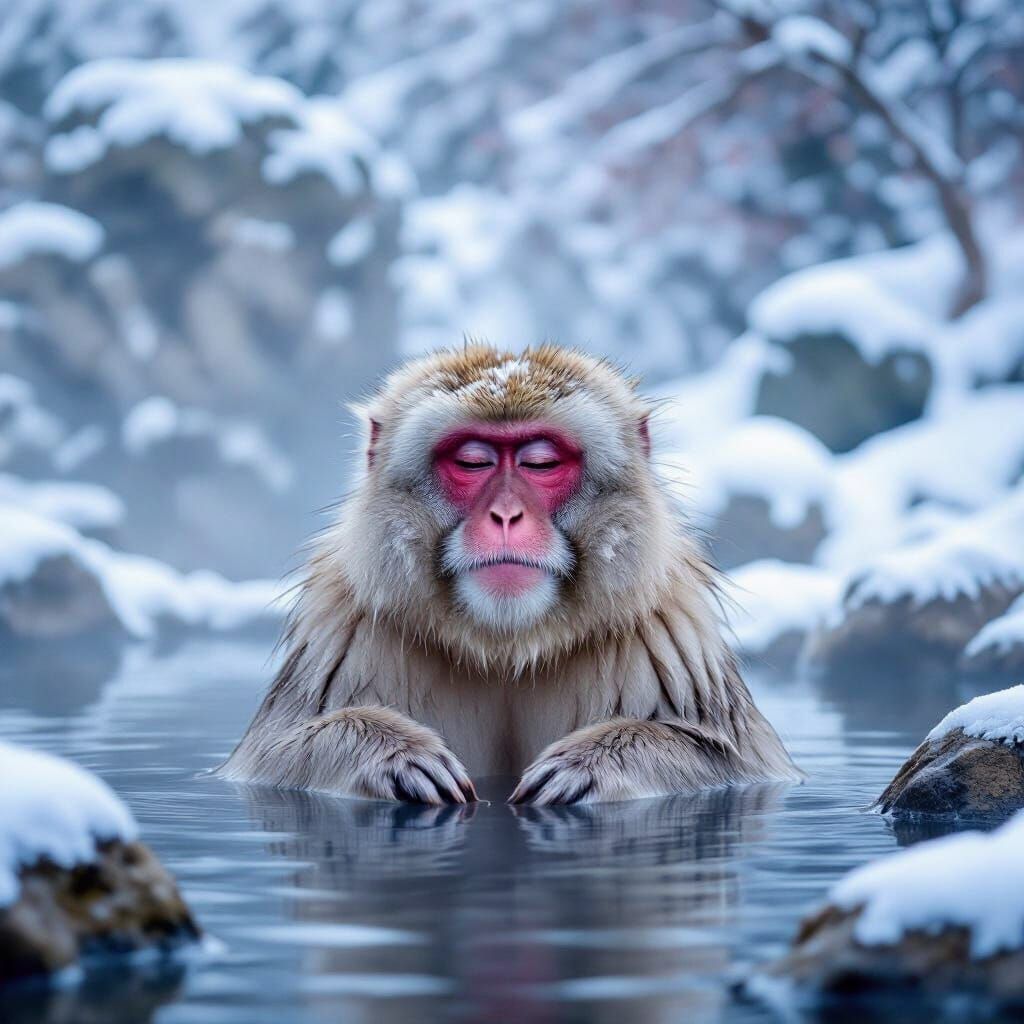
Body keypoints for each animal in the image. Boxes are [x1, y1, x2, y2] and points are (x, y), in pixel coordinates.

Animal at [218, 344, 801, 805]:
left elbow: (735, 763)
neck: (507, 645)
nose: (505, 515)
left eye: (540, 463)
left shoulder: (670, 634)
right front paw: (396, 755)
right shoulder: (342, 627)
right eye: (472, 462)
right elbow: (270, 758)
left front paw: (590, 764)